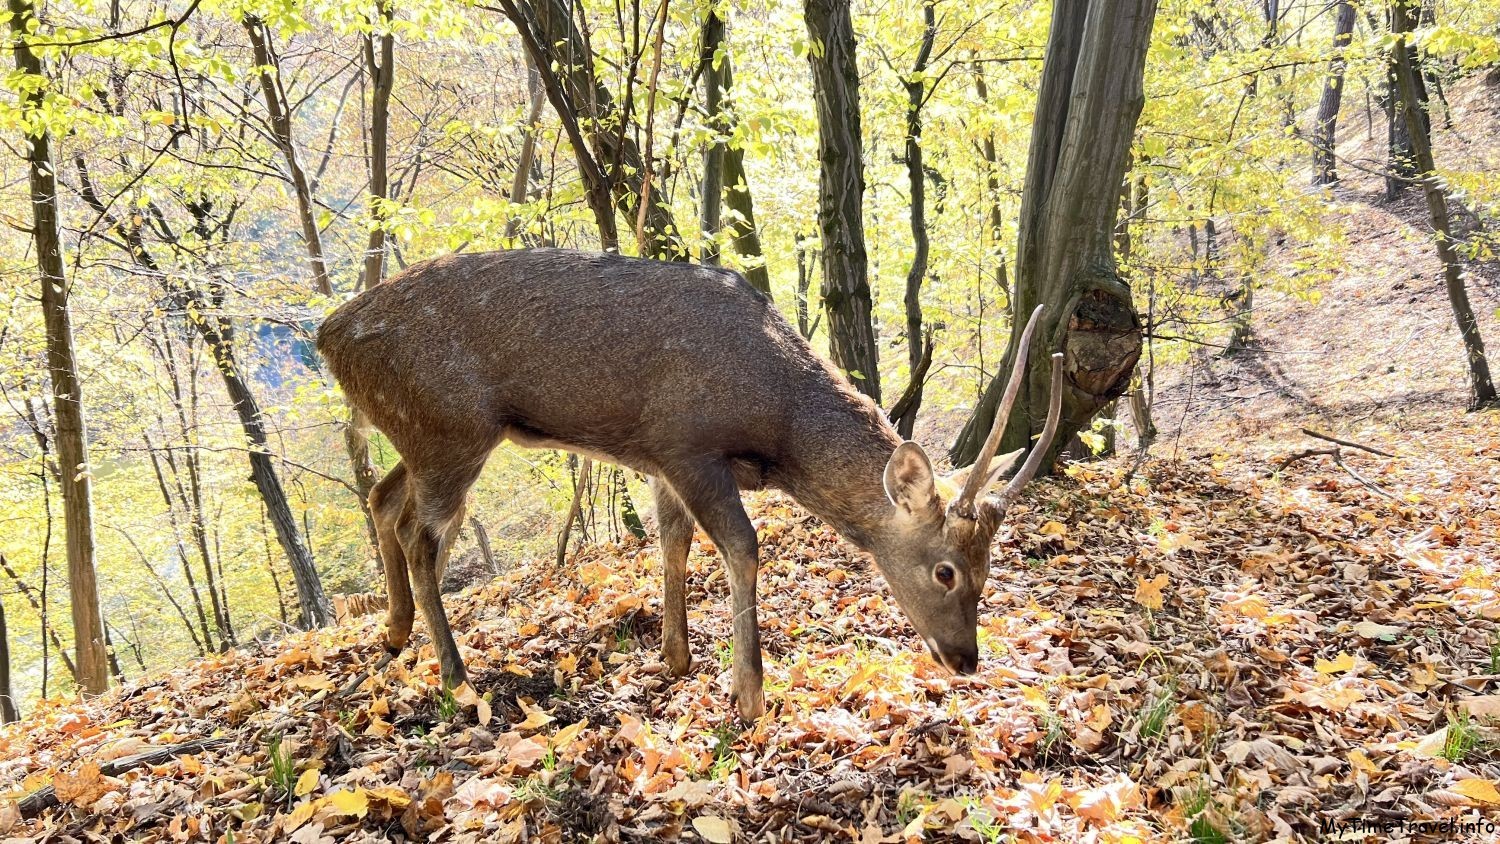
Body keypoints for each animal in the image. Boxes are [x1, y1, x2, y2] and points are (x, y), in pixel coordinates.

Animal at [316, 247, 1068, 722]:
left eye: (989, 568)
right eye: (946, 571)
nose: (966, 660)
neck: (775, 423)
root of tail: (328, 336)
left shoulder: (656, 459)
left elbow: (672, 545)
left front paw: (674, 658)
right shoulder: (686, 444)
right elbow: (741, 546)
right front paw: (750, 694)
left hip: (425, 436)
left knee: (382, 498)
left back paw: (394, 634)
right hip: (450, 430)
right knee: (420, 534)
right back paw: (457, 679)